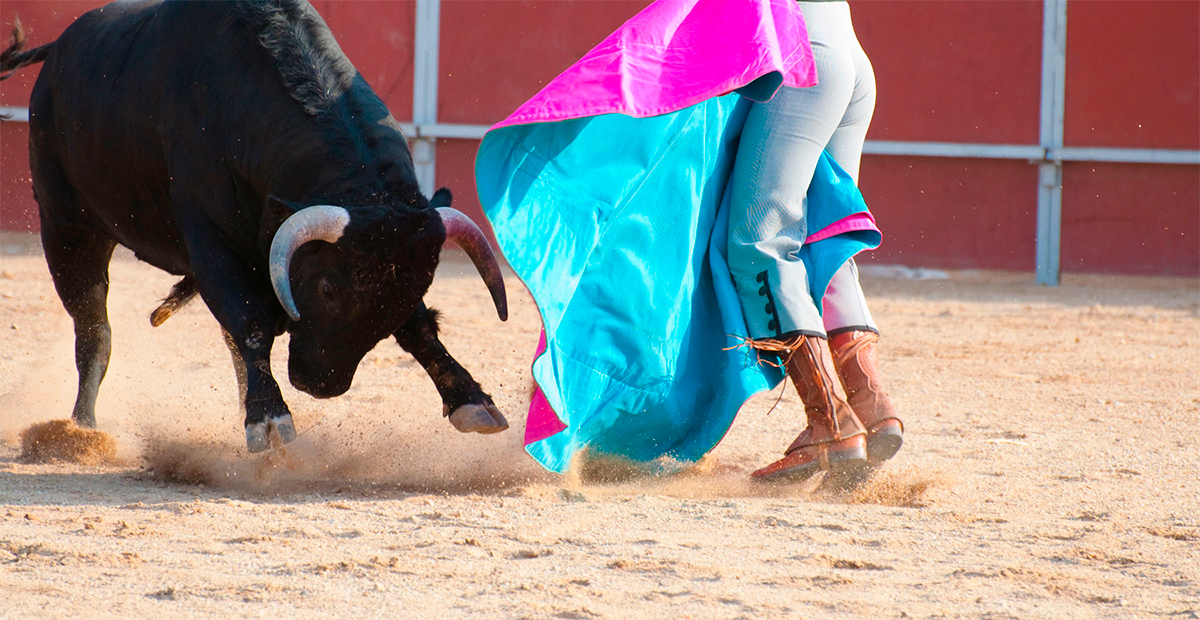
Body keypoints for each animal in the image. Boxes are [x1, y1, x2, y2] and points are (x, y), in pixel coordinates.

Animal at [0, 1, 511, 453]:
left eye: (410, 292)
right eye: (327, 288)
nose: (319, 384)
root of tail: (60, 50)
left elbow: (420, 328)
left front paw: (473, 401)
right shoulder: (211, 246)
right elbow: (249, 322)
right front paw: (268, 419)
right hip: (66, 228)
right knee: (94, 331)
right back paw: (80, 434)